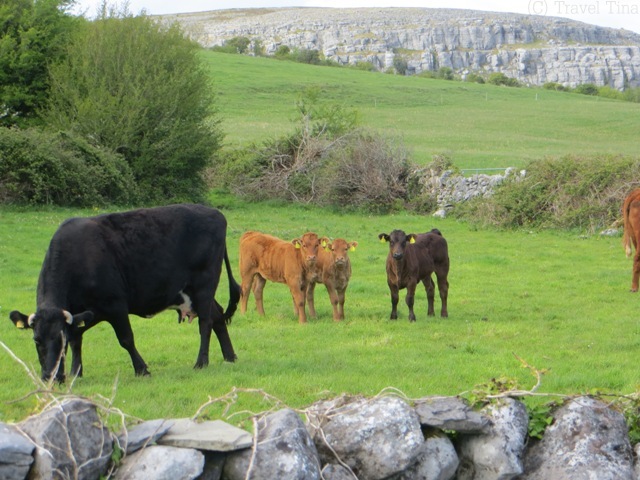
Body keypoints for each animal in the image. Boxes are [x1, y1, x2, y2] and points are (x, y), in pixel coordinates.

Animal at [9, 204, 239, 382]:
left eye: (60, 340)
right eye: (36, 340)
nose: (51, 377)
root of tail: (215, 213)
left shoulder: (116, 305)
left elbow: (126, 339)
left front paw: (142, 369)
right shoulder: (85, 312)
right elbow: (77, 338)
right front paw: (76, 372)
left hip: (204, 286)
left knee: (206, 323)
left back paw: (201, 362)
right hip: (192, 293)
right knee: (218, 316)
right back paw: (230, 357)